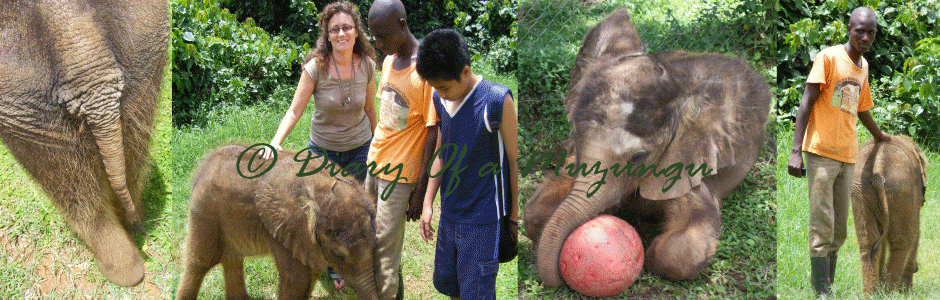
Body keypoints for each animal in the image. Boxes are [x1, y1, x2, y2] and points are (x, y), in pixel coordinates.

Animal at [174, 144, 380, 298]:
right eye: (338, 255)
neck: (318, 187)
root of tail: (203, 164)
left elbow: (310, 274)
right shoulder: (284, 227)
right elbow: (296, 280)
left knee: (232, 258)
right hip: (205, 212)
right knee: (200, 262)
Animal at [852, 135, 924, 292]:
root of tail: (878, 165)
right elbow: (915, 232)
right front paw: (906, 291)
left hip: (860, 189)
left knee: (868, 244)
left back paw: (872, 293)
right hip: (900, 188)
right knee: (902, 242)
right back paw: (891, 292)